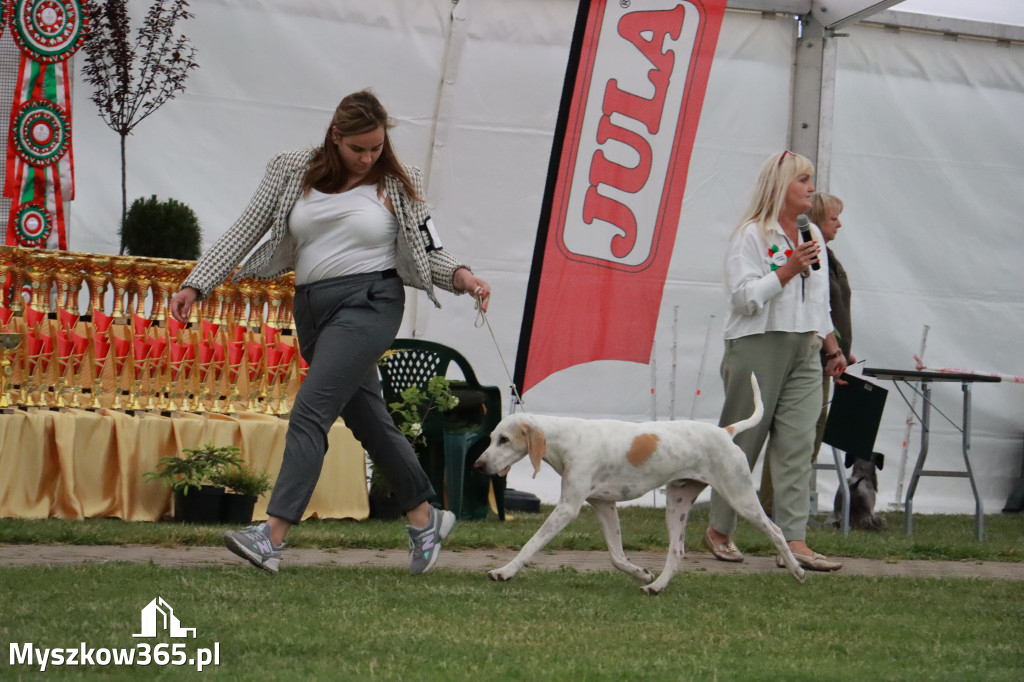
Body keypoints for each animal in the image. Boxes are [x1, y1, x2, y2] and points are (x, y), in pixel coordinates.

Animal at [475, 374, 802, 593]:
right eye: (491, 438)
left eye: (504, 440)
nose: (478, 466)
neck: (568, 438)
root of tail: (725, 432)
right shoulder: (604, 506)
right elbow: (617, 556)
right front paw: (642, 574)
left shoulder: (567, 508)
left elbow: (531, 544)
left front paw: (504, 571)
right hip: (677, 505)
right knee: (677, 551)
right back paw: (656, 587)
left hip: (741, 496)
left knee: (776, 531)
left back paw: (798, 570)